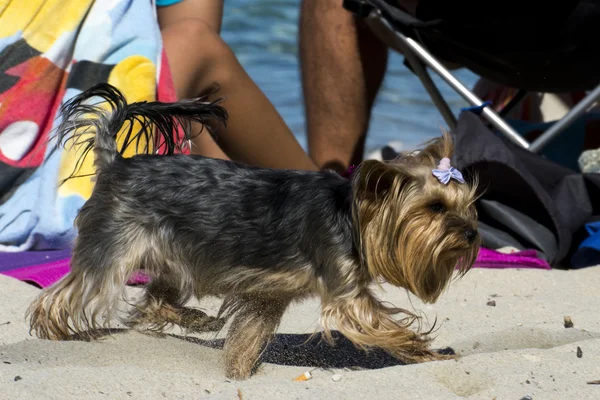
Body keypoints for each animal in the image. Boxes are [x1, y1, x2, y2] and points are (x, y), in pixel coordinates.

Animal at [28, 83, 480, 380]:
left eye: (468, 208)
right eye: (435, 208)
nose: (473, 235)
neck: (351, 215)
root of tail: (116, 162)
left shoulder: (269, 294)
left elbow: (250, 334)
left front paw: (238, 371)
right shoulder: (346, 292)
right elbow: (387, 326)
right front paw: (430, 353)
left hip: (176, 255)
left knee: (152, 300)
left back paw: (196, 320)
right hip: (114, 246)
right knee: (70, 292)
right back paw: (54, 331)